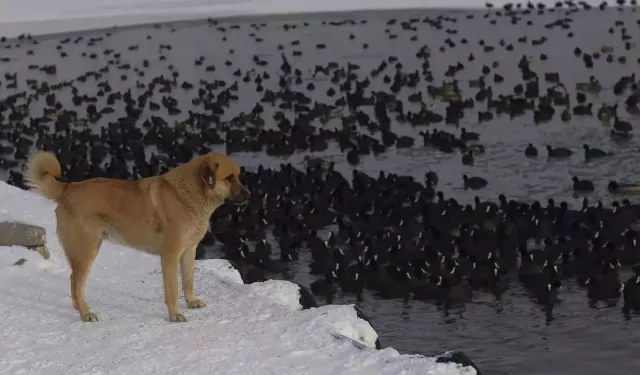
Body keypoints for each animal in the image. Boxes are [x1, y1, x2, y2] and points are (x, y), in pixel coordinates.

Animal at [25, 151, 250, 324]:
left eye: (238, 176)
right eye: (229, 177)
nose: (249, 195)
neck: (190, 194)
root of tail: (67, 188)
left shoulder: (189, 250)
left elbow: (188, 281)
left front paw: (191, 301)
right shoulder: (170, 255)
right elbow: (172, 289)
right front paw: (174, 314)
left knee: (74, 282)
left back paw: (80, 308)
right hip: (86, 251)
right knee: (76, 281)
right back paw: (86, 313)